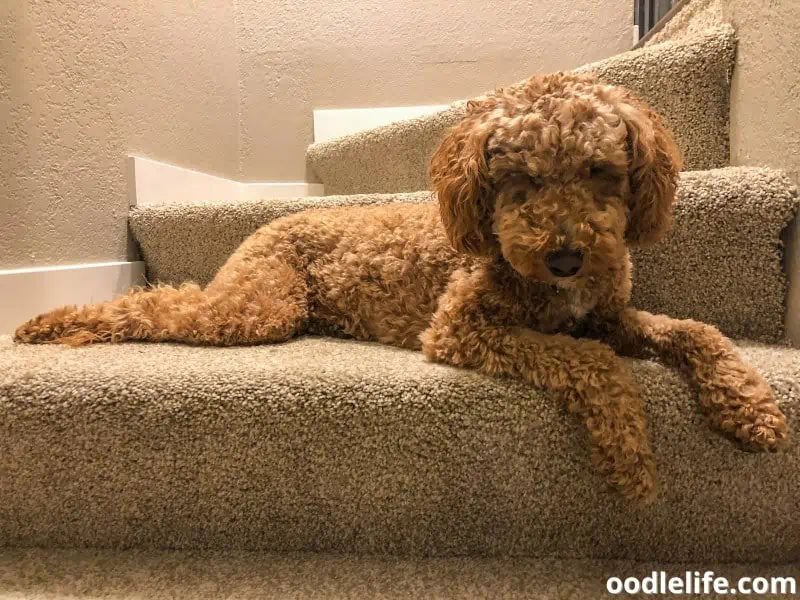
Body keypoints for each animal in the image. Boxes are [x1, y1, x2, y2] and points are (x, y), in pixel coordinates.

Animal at [15, 72, 792, 504]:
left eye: (601, 171)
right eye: (520, 179)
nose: (567, 257)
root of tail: (274, 218)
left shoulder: (608, 314)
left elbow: (696, 331)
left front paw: (750, 405)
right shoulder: (460, 328)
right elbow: (595, 365)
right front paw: (630, 458)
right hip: (260, 305)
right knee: (156, 302)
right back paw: (49, 323)